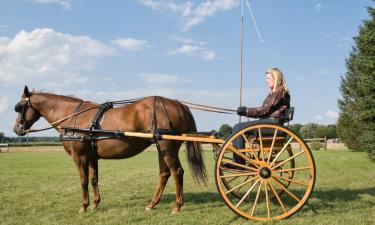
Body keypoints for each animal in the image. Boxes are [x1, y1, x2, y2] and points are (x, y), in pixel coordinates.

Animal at [13, 85, 207, 214]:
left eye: (19, 107)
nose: (16, 129)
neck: (73, 117)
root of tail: (179, 105)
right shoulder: (92, 157)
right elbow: (94, 179)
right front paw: (95, 204)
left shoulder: (79, 156)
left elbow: (83, 180)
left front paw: (84, 206)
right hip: (161, 147)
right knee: (164, 174)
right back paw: (152, 204)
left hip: (168, 147)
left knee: (177, 172)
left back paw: (177, 206)